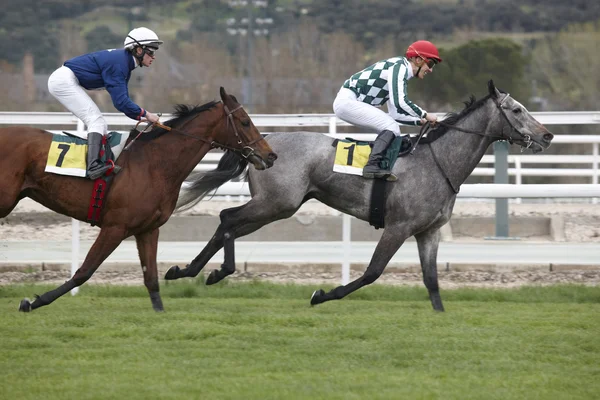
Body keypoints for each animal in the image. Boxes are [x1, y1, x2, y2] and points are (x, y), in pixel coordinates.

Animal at [0, 87, 276, 312]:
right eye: (245, 122)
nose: (270, 155)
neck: (155, 164)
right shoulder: (115, 227)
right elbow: (84, 271)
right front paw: (33, 302)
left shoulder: (148, 229)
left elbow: (151, 278)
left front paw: (161, 311)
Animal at [163, 80, 552, 312]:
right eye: (516, 110)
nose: (547, 135)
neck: (437, 162)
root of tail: (264, 142)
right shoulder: (398, 227)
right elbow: (372, 272)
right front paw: (321, 294)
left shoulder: (428, 232)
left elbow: (431, 280)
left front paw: (441, 316)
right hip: (276, 203)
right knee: (227, 218)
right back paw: (212, 271)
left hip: (277, 206)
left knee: (227, 224)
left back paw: (190, 270)